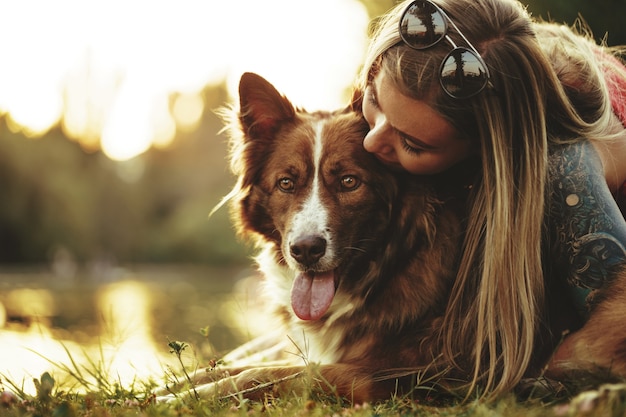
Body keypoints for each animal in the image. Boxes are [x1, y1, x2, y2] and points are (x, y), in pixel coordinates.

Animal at [157, 72, 626, 404]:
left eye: (349, 182)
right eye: (286, 183)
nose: (305, 250)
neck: (397, 259)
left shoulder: (400, 368)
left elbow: (272, 375)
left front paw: (185, 399)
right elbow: (227, 367)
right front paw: (164, 388)